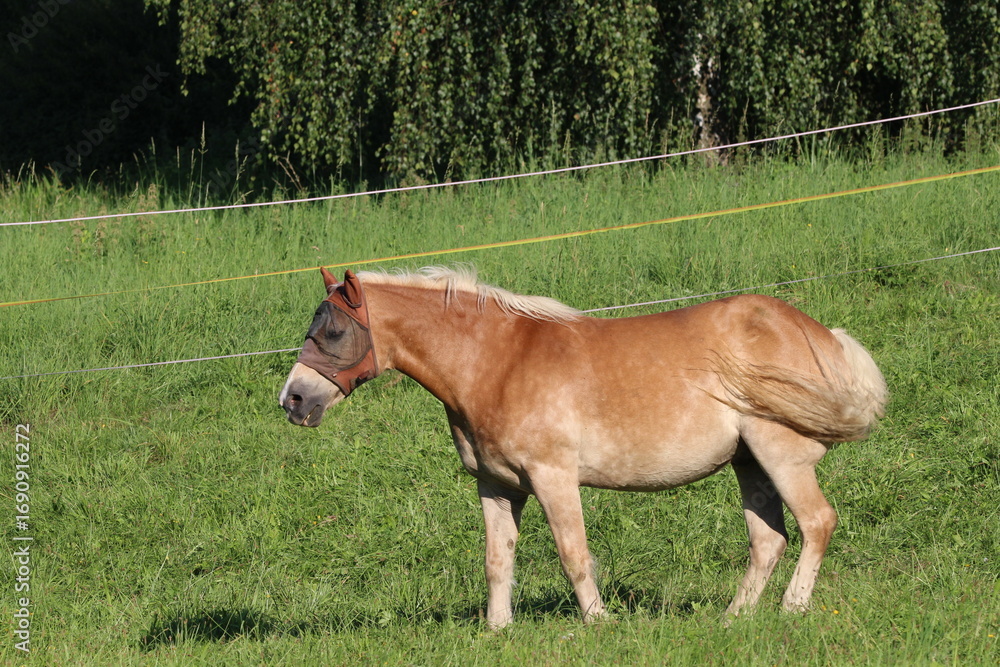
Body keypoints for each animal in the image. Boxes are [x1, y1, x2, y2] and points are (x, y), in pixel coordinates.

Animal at [279, 266, 887, 629]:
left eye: (333, 332)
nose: (292, 399)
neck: (496, 361)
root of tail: (817, 333)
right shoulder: (497, 486)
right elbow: (497, 559)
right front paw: (497, 630)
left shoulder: (553, 478)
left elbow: (573, 554)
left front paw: (597, 623)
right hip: (749, 463)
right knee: (768, 540)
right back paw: (733, 618)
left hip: (781, 455)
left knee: (817, 523)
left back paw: (793, 607)